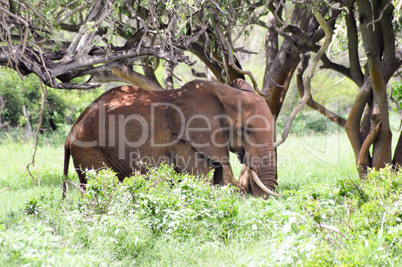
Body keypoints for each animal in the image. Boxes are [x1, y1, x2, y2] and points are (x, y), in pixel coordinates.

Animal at [62, 78, 280, 198]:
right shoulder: (185, 142)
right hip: (89, 148)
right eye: (246, 130)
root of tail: (71, 133)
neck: (225, 92)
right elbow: (201, 181)